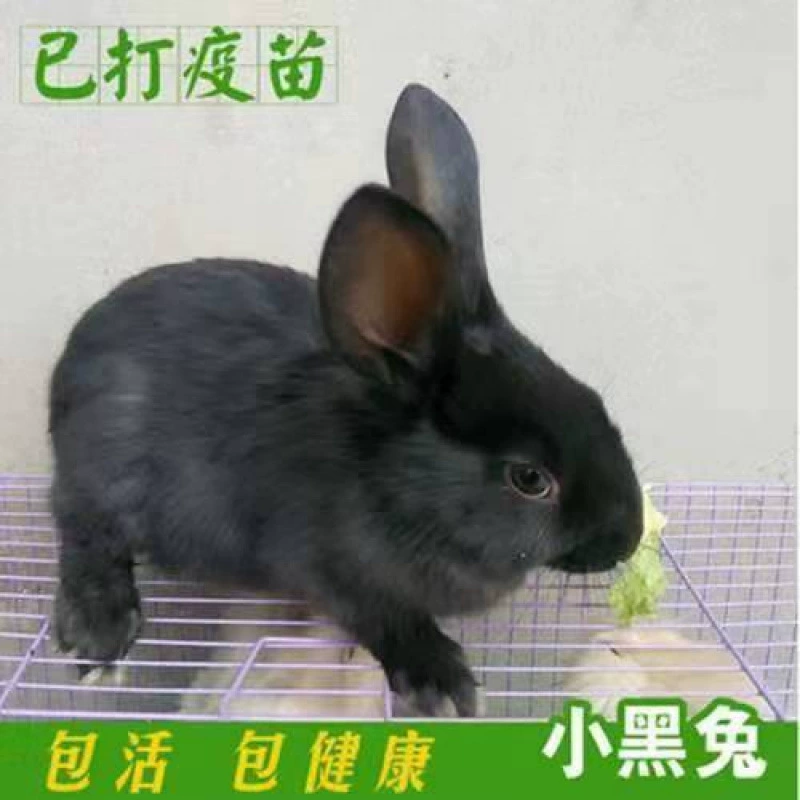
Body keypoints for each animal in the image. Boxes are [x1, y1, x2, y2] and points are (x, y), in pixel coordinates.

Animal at [48, 83, 643, 718]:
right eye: (529, 479)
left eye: (595, 402)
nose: (628, 538)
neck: (398, 482)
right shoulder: (334, 571)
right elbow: (386, 618)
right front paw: (443, 683)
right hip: (104, 470)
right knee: (82, 530)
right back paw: (100, 634)